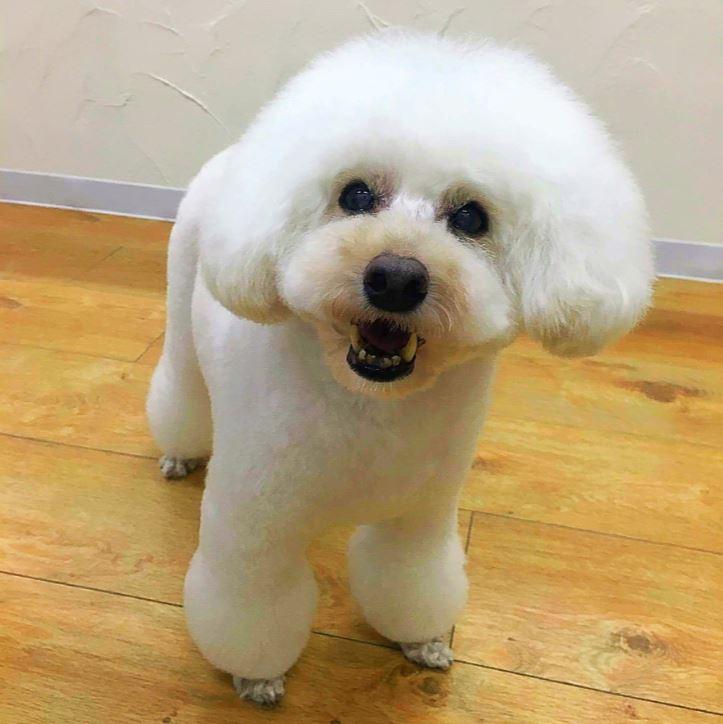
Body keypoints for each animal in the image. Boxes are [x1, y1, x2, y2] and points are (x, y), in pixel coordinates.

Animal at [147, 31, 653, 706]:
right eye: (356, 195)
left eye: (471, 217)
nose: (394, 277)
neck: (370, 408)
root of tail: (233, 154)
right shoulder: (255, 531)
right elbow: (250, 608)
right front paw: (256, 674)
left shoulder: (420, 517)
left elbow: (409, 580)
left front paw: (423, 640)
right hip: (182, 306)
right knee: (182, 386)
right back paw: (179, 452)